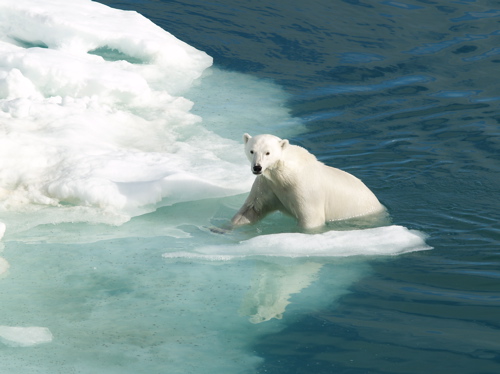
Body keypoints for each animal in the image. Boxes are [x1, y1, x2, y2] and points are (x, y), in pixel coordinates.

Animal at [232, 133, 384, 229]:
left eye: (268, 153)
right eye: (252, 151)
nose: (257, 167)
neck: (286, 173)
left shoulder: (305, 188)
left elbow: (311, 217)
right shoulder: (268, 185)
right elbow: (252, 209)